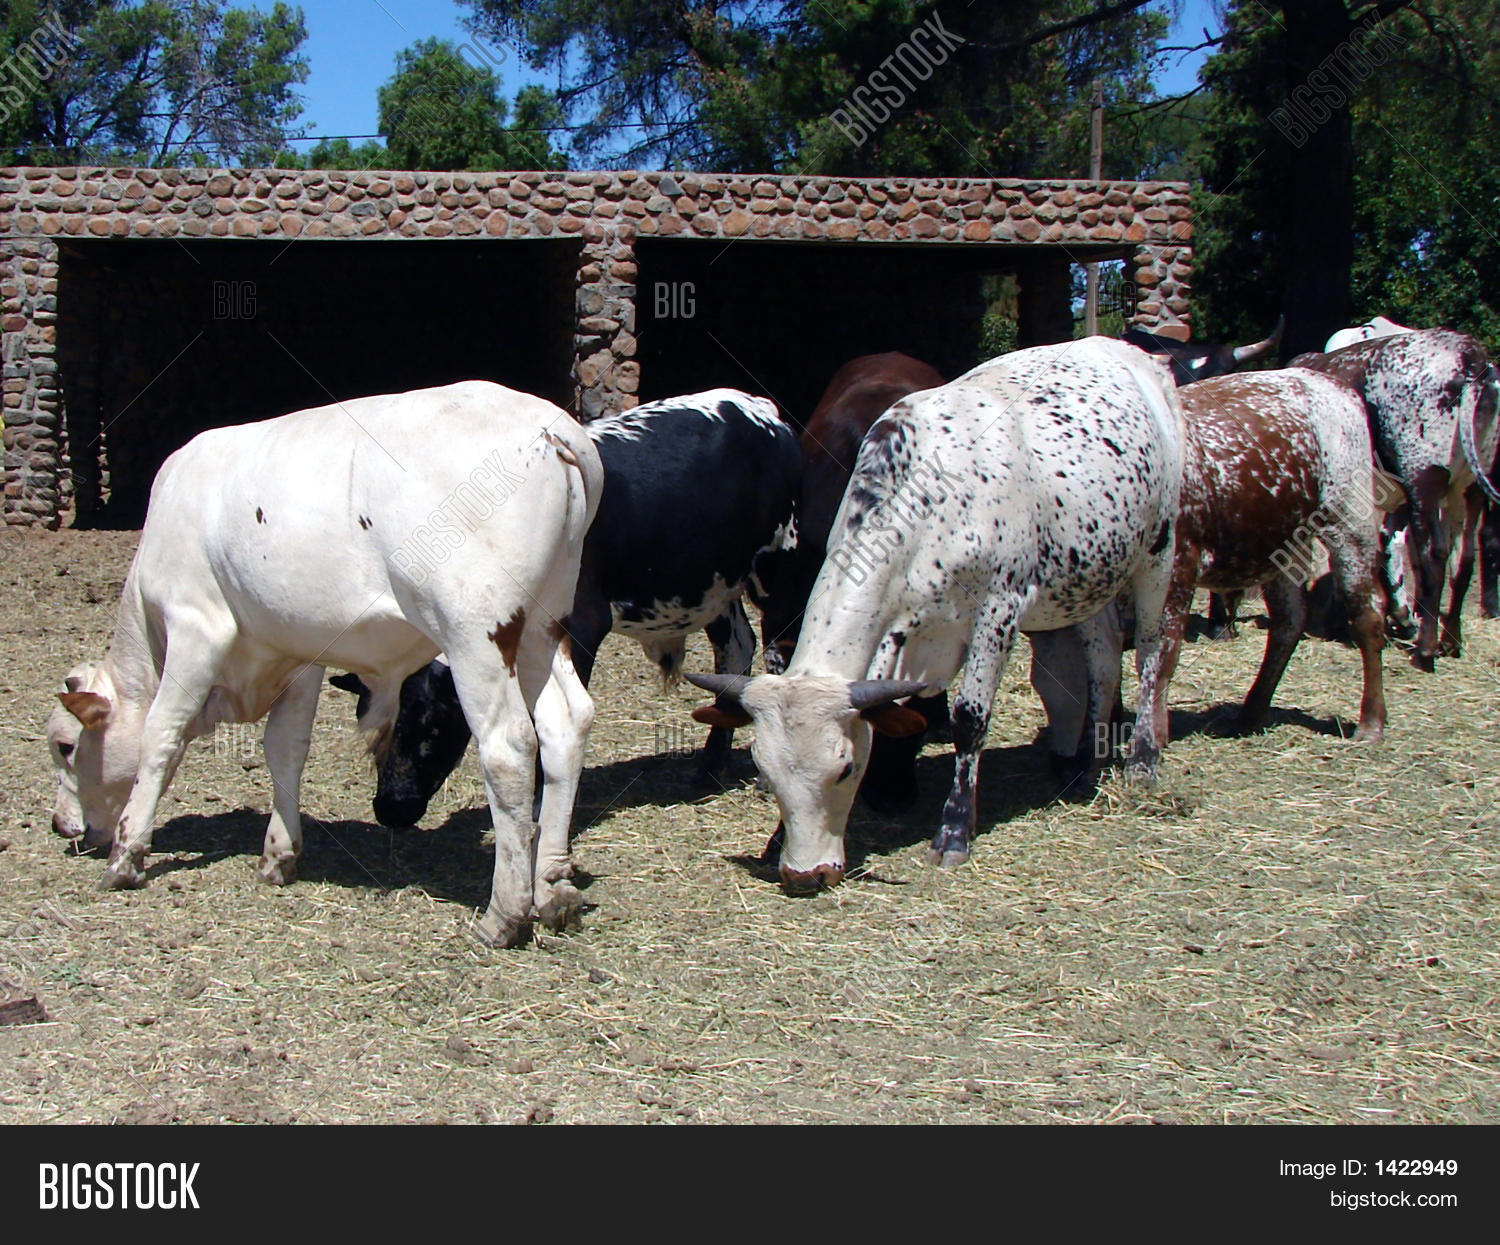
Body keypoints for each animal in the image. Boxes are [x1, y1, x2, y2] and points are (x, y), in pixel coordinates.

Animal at [46, 381, 603, 949]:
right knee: (565, 724)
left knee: (509, 747)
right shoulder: (297, 652)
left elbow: (159, 735)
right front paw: (278, 853)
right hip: (544, 624)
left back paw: (504, 913)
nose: (60, 826)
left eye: (66, 746)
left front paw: (126, 854)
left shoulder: (196, 625)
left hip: (474, 631)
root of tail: (548, 425)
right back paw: (553, 889)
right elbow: (285, 748)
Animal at [329, 389, 802, 829]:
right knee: (737, 647)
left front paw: (544, 804)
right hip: (715, 585)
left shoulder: (581, 627)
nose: (390, 808)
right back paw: (709, 766)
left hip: (779, 564)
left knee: (780, 649)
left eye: (432, 719)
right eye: (365, 714)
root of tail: (751, 403)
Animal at [688, 338, 1185, 892]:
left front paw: (954, 831)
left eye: (845, 769)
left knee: (1150, 652)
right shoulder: (909, 631)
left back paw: (1142, 761)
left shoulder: (999, 609)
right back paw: (1088, 763)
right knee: (1103, 657)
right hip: (1088, 575)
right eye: (768, 773)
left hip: (1157, 552)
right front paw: (778, 839)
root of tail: (1122, 349)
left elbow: (970, 720)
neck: (929, 499)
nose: (806, 873)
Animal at [1292, 329, 1500, 669]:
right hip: (1467, 487)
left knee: (1435, 555)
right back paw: (1449, 640)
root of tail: (1469, 357)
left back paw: (1426, 649)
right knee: (1463, 557)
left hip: (1424, 478)